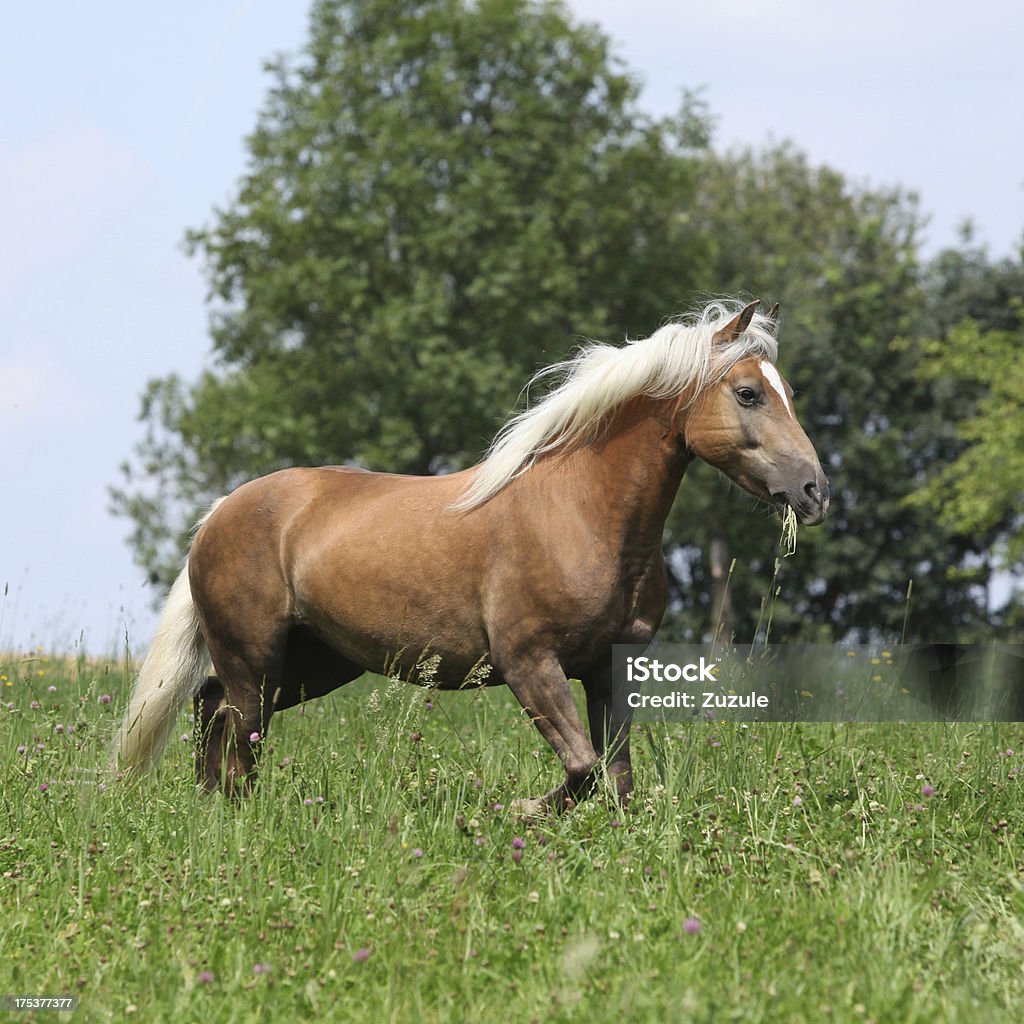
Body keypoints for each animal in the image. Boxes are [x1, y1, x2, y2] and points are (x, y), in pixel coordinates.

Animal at [114, 296, 831, 815]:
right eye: (748, 393)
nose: (814, 491)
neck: (581, 515)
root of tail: (219, 513)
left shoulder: (609, 670)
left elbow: (618, 780)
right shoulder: (528, 664)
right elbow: (583, 770)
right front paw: (514, 812)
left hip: (315, 663)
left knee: (212, 710)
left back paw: (212, 812)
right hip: (256, 658)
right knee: (236, 732)